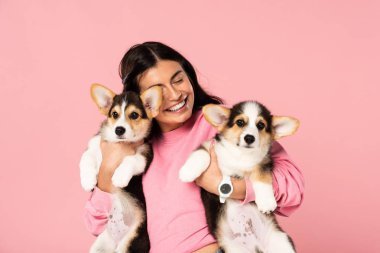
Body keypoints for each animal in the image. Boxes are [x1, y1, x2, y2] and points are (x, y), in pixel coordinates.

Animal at [81, 83, 161, 253]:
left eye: (134, 115)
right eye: (114, 114)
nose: (119, 129)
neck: (120, 144)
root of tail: (116, 241)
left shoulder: (144, 156)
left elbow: (130, 160)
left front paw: (119, 177)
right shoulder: (93, 146)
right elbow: (86, 159)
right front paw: (87, 181)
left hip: (130, 242)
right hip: (100, 245)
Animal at [178, 101, 300, 253]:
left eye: (261, 125)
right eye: (240, 122)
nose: (249, 138)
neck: (240, 154)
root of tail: (256, 247)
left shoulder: (264, 163)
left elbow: (263, 179)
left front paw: (266, 202)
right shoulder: (209, 146)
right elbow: (202, 154)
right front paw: (187, 172)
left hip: (280, 240)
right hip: (234, 249)